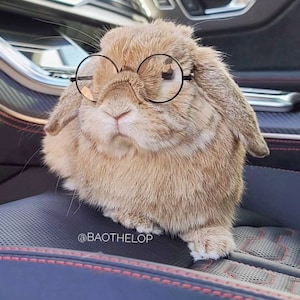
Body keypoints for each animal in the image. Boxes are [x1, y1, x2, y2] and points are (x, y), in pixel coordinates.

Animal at [41, 19, 268, 262]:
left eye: (168, 73)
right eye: (96, 76)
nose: (116, 109)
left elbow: (209, 223)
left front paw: (213, 244)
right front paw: (136, 220)